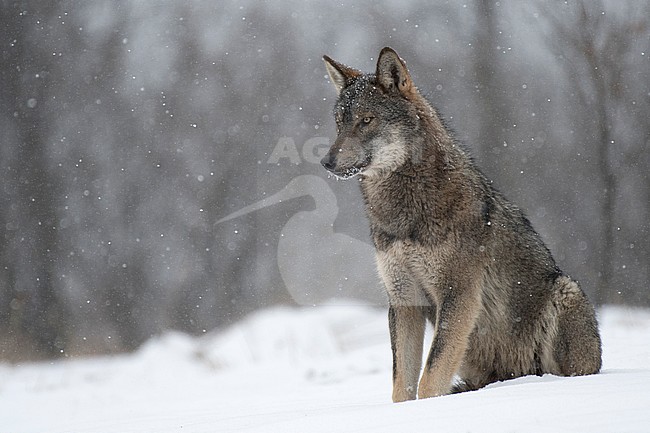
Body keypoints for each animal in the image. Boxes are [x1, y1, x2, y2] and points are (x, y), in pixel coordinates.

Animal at [320, 47, 602, 402]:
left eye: (366, 120)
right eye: (339, 124)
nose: (326, 162)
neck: (404, 213)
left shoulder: (458, 295)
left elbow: (430, 378)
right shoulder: (403, 301)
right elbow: (402, 385)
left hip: (566, 291)